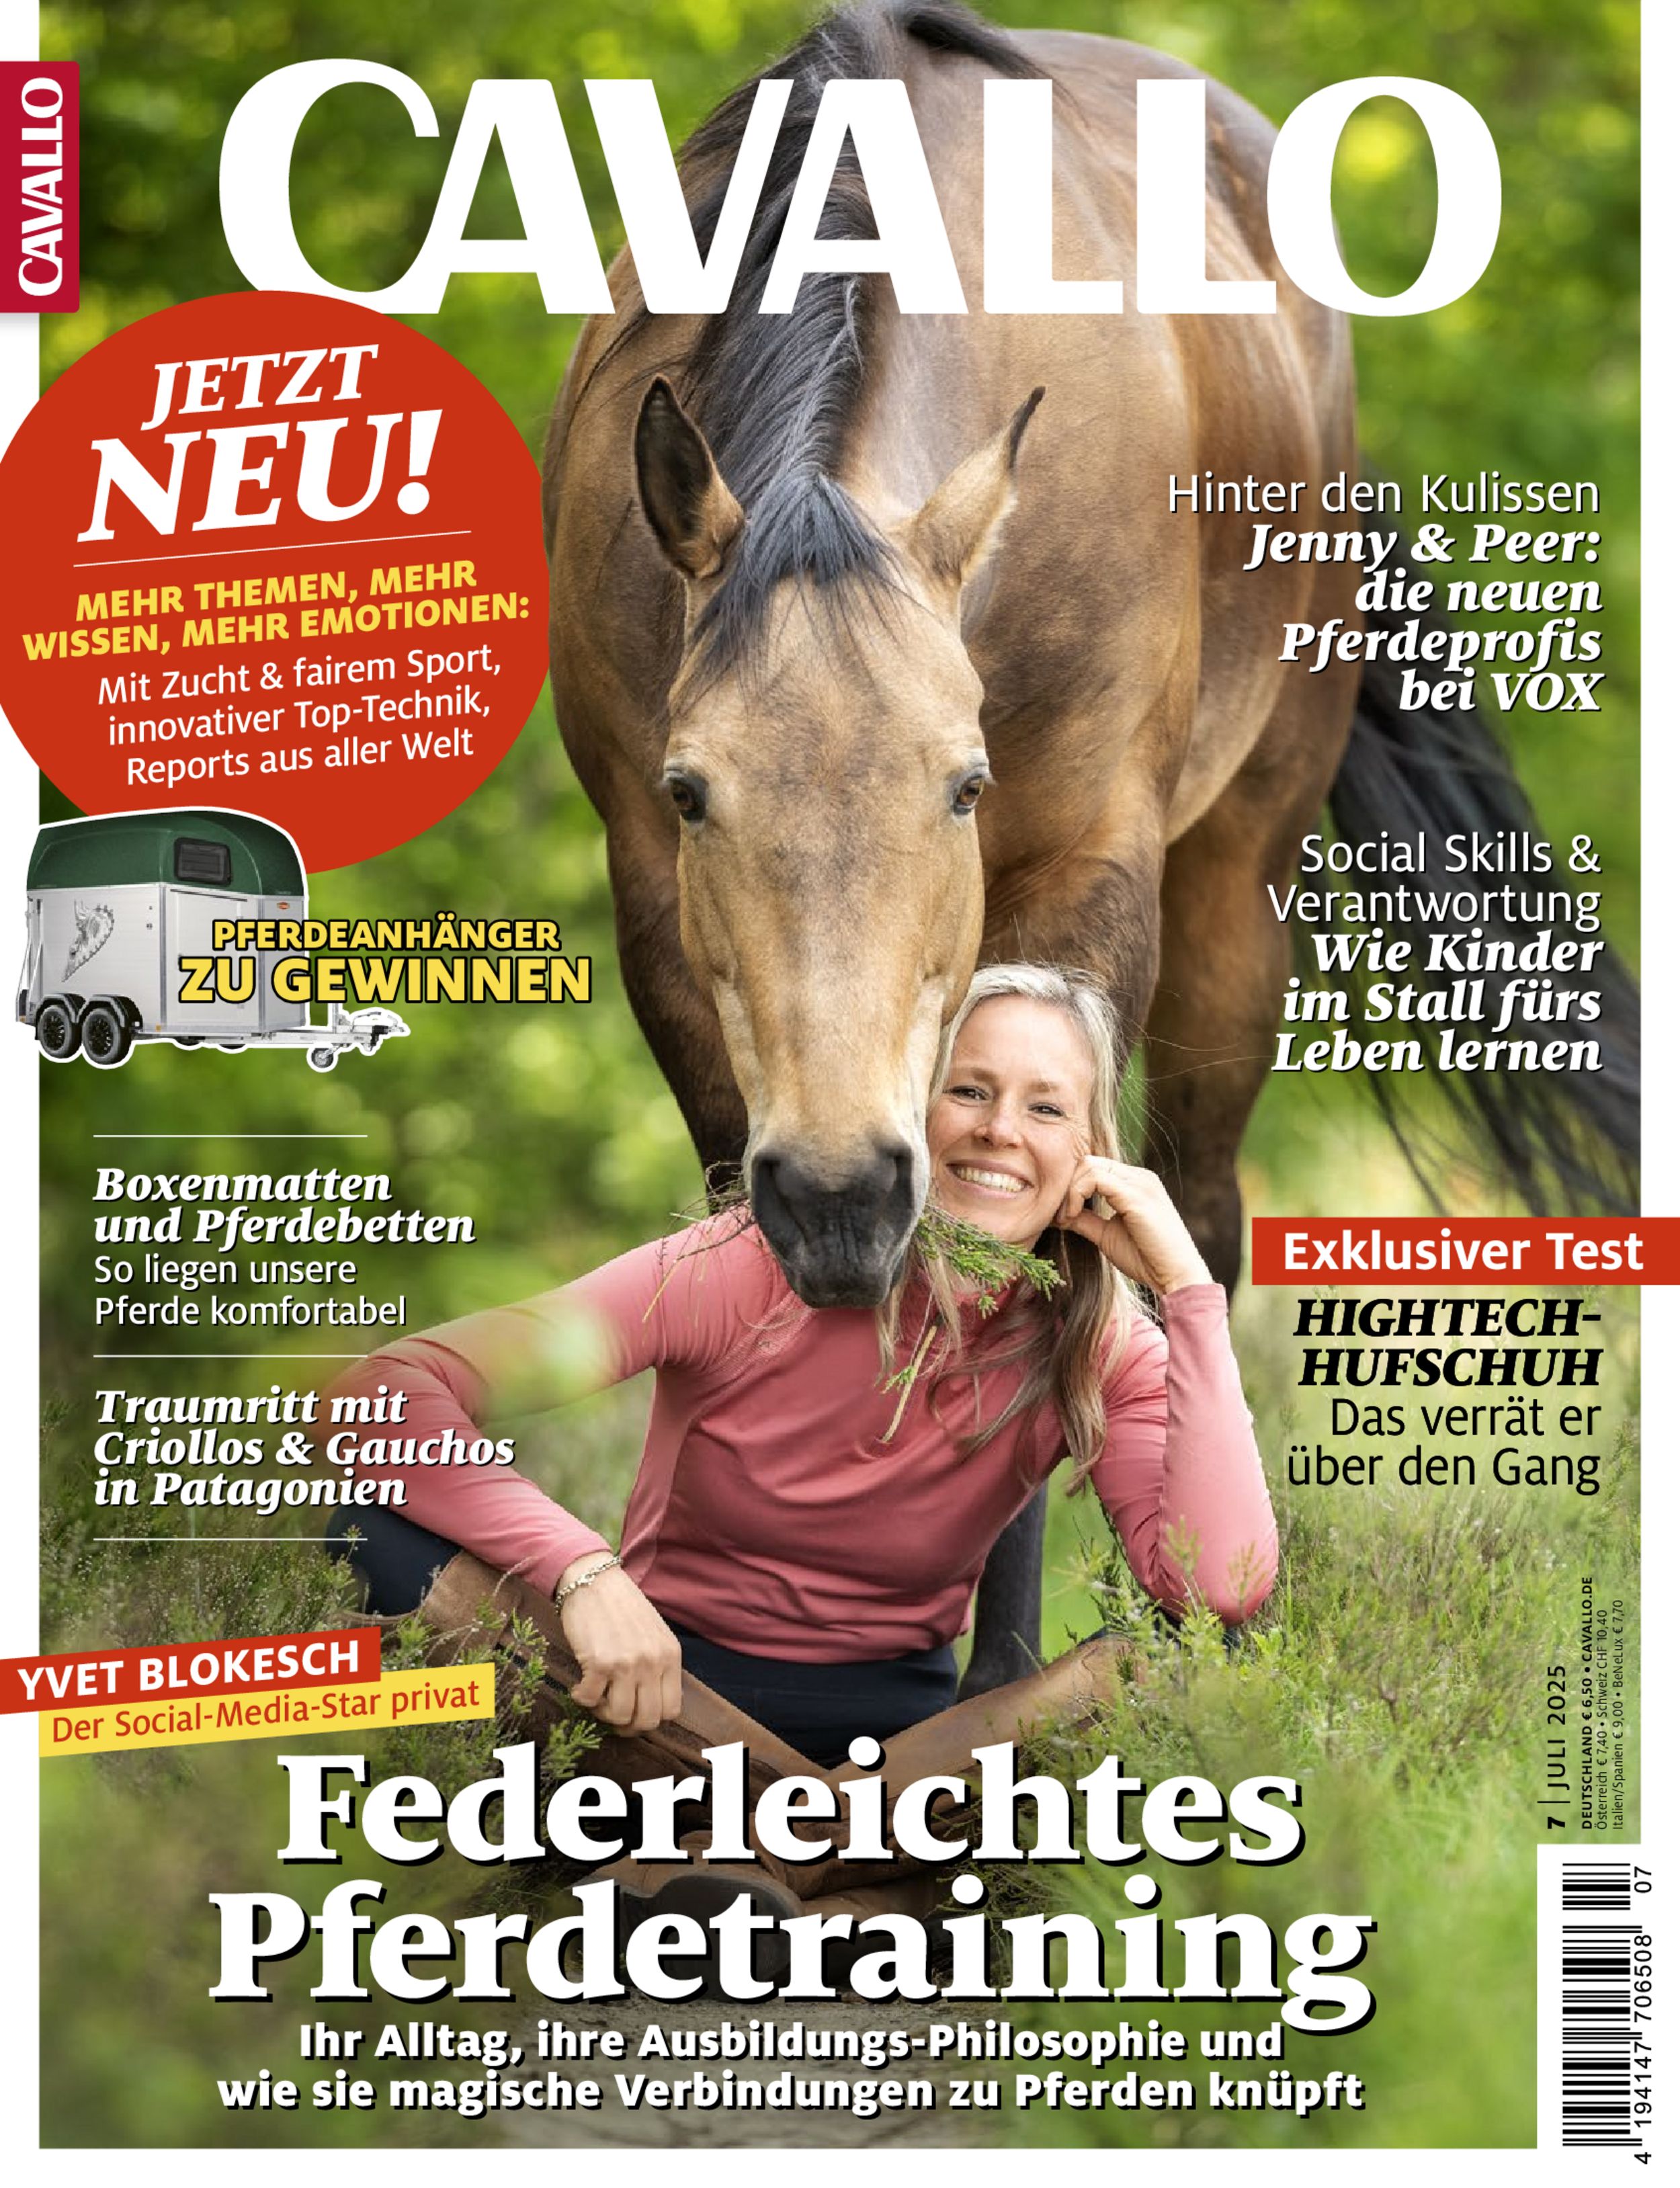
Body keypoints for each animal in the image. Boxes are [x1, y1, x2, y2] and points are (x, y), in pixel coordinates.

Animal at [543, 2, 1638, 1690]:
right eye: (689, 791)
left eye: (963, 785)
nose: (844, 1191)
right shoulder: (660, 925)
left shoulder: (1083, 889)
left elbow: (1051, 1266)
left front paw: (994, 1668)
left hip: (1236, 887)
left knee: (1194, 1217)